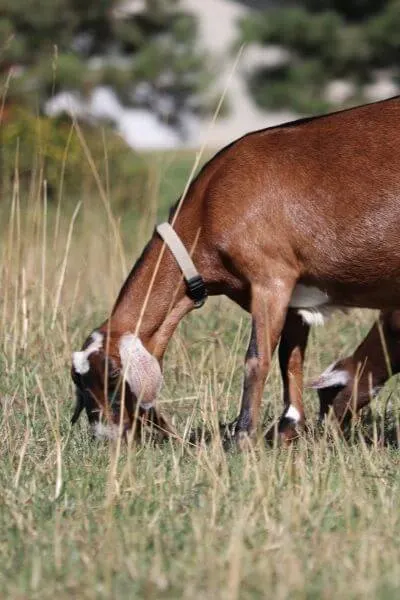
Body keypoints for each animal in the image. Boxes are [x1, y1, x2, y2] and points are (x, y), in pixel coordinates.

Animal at [71, 96, 400, 442]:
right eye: (80, 385)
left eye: (112, 375)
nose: (107, 436)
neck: (207, 210)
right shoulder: (293, 294)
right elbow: (290, 356)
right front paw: (287, 428)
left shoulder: (271, 277)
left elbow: (257, 359)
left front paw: (242, 436)